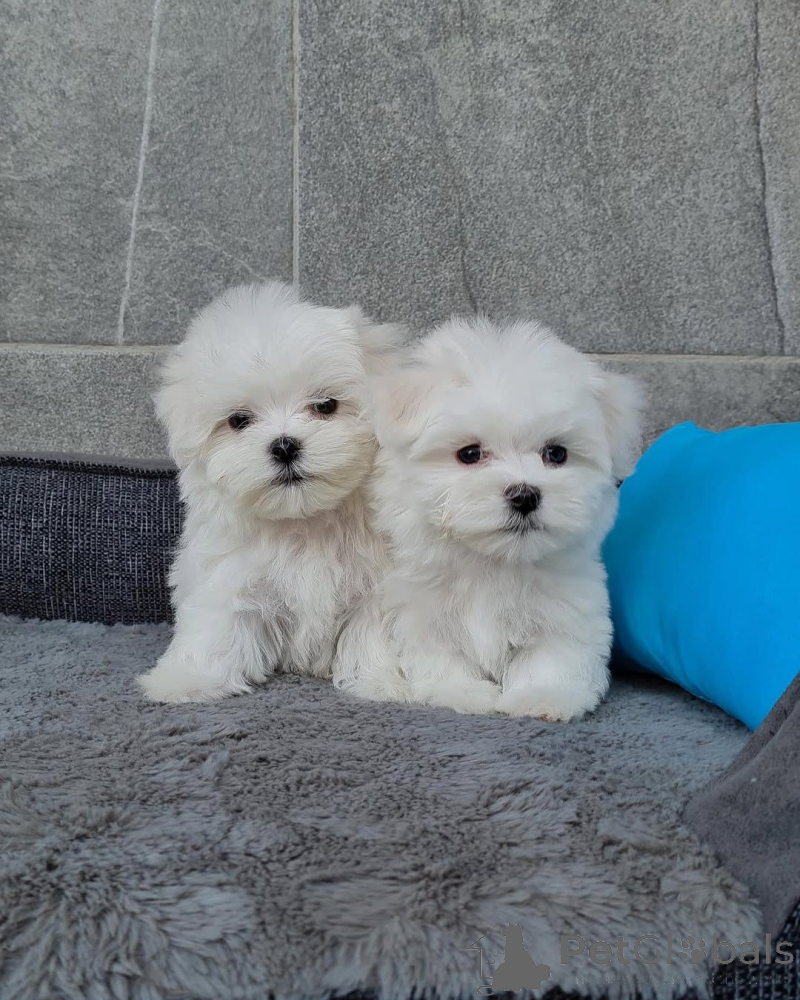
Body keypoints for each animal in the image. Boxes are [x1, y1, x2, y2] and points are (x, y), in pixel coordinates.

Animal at [137, 281, 400, 703]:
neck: (303, 521)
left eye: (325, 405)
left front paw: (381, 681)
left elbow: (372, 631)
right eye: (239, 420)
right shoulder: (228, 574)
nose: (284, 445)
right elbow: (218, 625)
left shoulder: (376, 582)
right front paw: (187, 680)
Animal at [368, 315, 642, 720]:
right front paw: (462, 693)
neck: (494, 562)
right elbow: (441, 655)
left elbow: (553, 655)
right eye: (469, 453)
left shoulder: (566, 609)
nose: (525, 495)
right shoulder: (422, 611)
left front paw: (543, 697)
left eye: (556, 454)